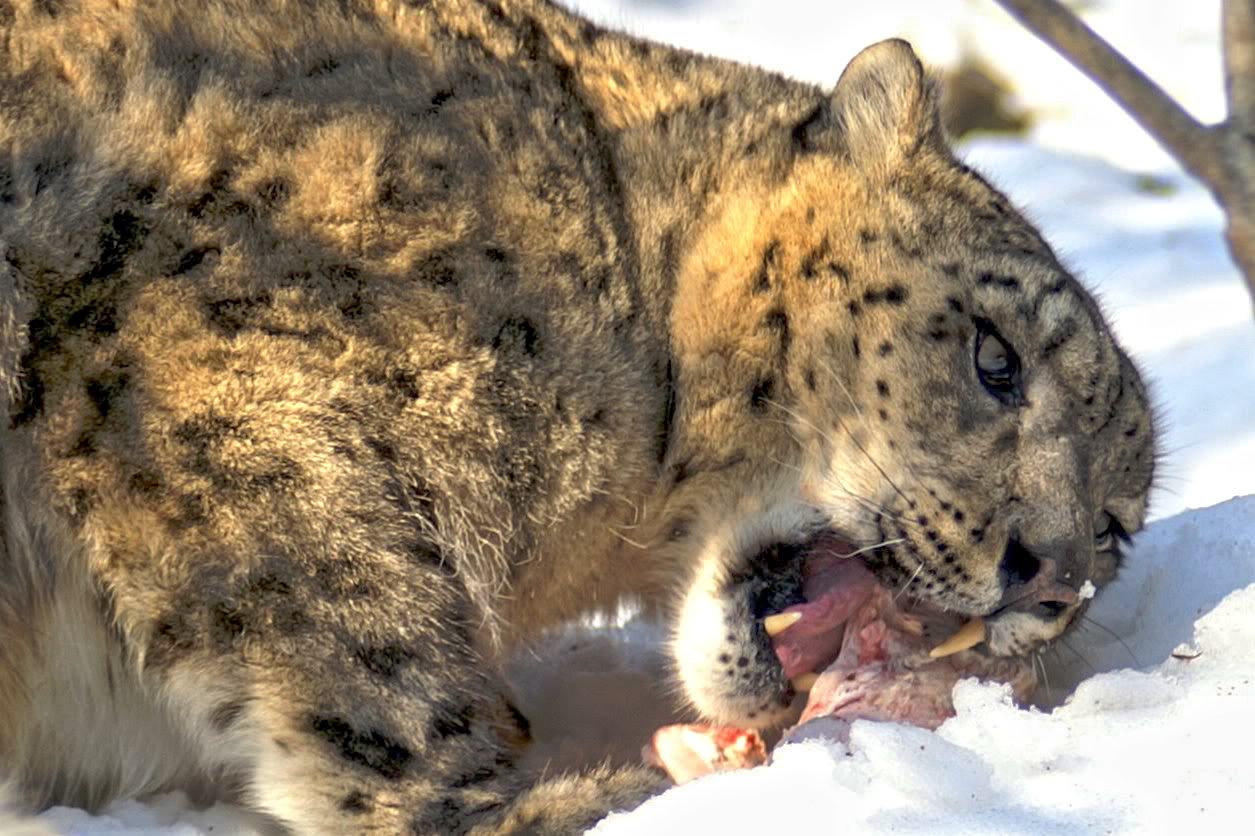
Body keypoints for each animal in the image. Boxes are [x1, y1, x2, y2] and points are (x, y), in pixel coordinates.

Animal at [0, 0, 1156, 832]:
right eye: (995, 358)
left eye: (1114, 529)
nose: (1046, 577)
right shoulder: (247, 383)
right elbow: (369, 650)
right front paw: (557, 799)